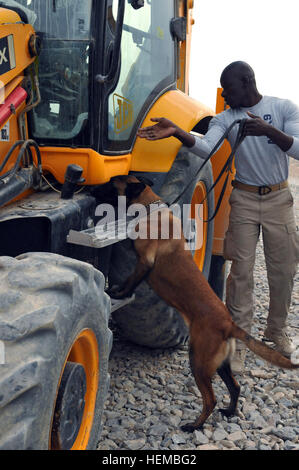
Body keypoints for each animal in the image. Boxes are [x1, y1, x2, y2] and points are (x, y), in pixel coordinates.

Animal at [102, 174, 298, 432]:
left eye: (113, 183)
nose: (92, 187)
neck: (151, 209)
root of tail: (229, 324)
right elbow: (127, 280)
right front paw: (115, 290)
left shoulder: (144, 262)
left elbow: (130, 283)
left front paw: (118, 293)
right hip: (220, 364)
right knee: (235, 387)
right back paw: (230, 411)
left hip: (199, 362)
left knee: (210, 399)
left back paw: (194, 425)